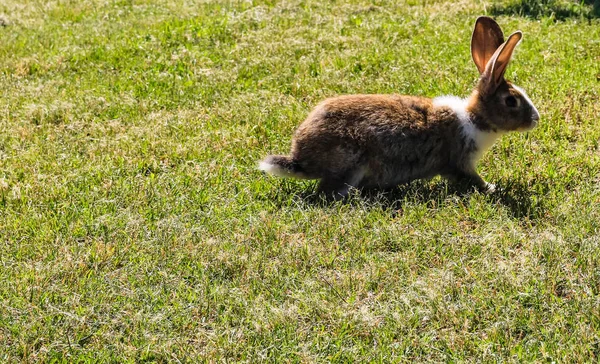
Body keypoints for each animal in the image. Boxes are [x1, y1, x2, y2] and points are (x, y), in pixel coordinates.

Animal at [258, 16, 540, 199]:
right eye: (511, 100)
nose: (536, 119)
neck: (474, 118)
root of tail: (300, 159)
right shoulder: (459, 162)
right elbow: (471, 179)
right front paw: (492, 188)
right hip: (350, 162)